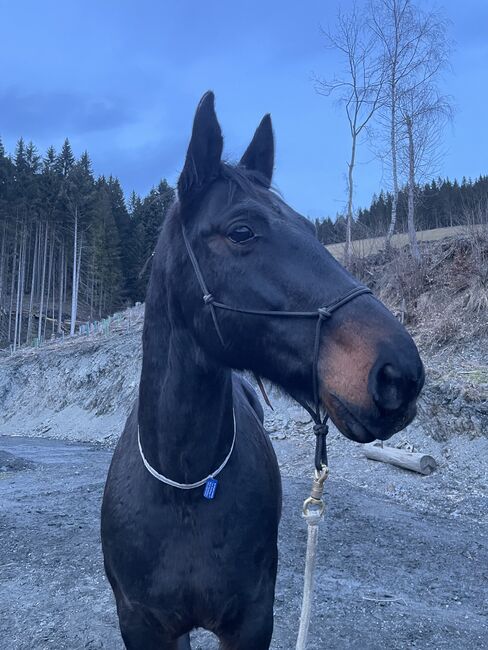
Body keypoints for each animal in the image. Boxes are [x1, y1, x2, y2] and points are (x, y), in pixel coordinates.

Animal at [102, 92, 424, 648]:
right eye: (242, 231)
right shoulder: (144, 626)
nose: (398, 375)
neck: (185, 488)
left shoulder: (253, 620)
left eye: (311, 229)